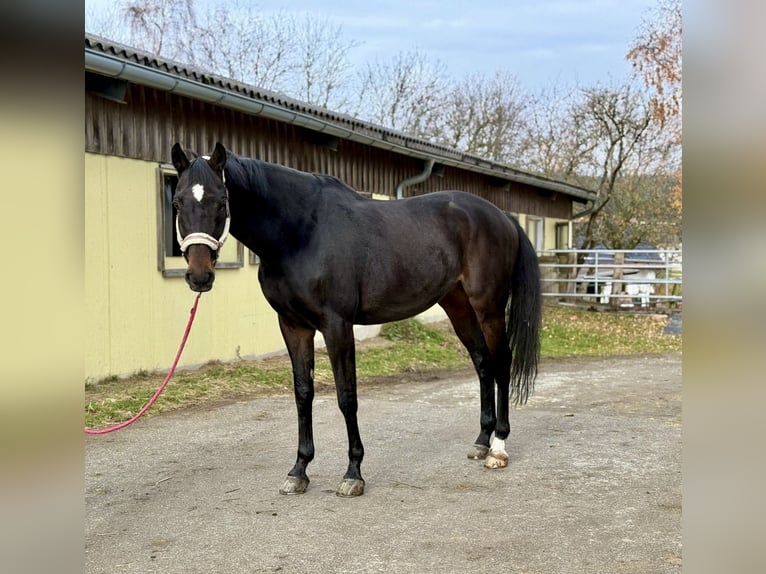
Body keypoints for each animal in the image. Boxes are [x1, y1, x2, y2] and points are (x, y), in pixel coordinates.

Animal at [170, 142, 542, 497]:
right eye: (176, 202)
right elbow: (303, 393)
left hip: (488, 306)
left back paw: (499, 447)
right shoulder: (293, 326)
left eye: (221, 201)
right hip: (458, 305)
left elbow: (346, 396)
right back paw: (481, 442)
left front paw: (353, 474)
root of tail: (502, 216)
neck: (301, 233)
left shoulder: (337, 325)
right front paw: (299, 471)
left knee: (501, 362)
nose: (199, 276)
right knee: (482, 362)